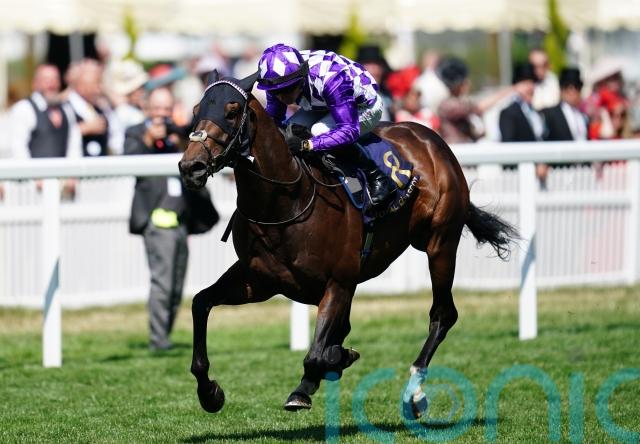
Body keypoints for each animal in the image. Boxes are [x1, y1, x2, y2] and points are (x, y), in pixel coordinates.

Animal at [178, 70, 517, 416]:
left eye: (231, 112)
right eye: (196, 110)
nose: (191, 167)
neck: (286, 202)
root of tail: (431, 139)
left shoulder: (338, 282)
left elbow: (316, 352)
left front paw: (309, 383)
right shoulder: (259, 281)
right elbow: (200, 303)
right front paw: (210, 392)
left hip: (440, 243)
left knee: (443, 314)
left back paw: (414, 392)